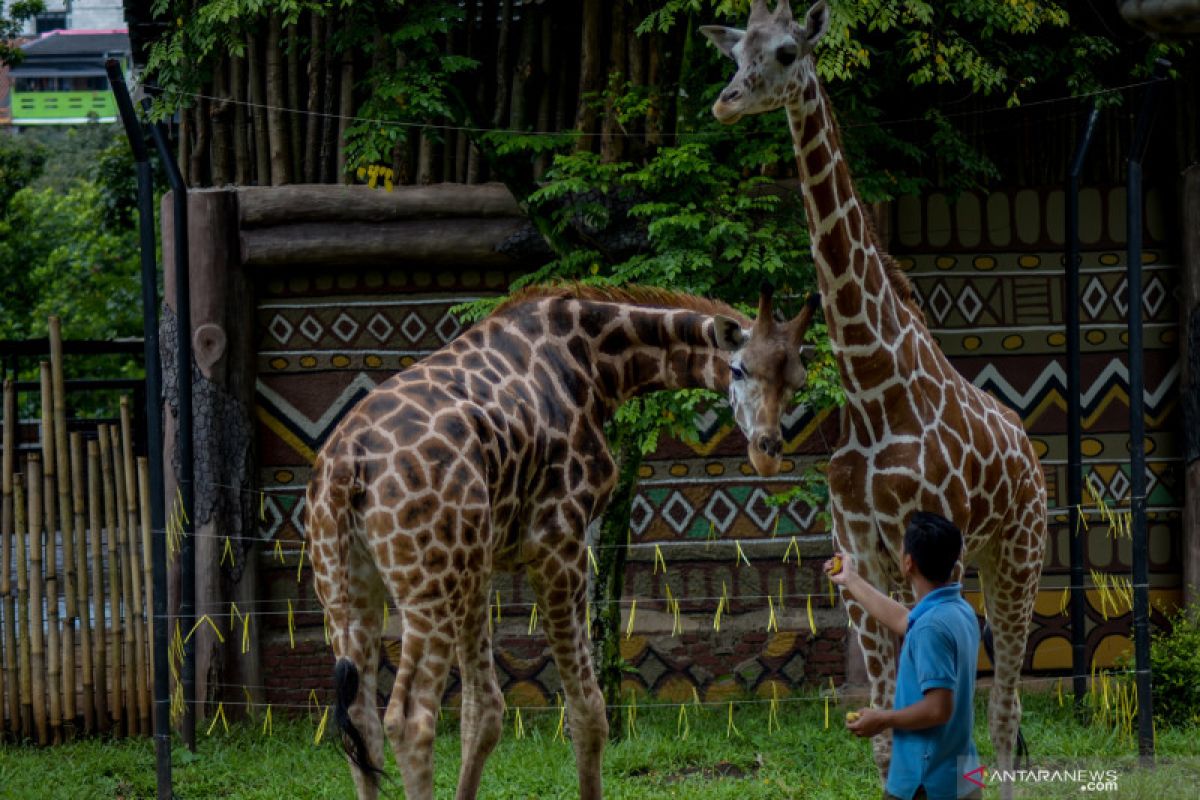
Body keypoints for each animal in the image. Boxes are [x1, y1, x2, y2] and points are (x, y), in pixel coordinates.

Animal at [304, 284, 820, 796]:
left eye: (797, 381)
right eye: (738, 367)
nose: (767, 451)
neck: (596, 366)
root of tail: (348, 461)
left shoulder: (481, 562)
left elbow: (483, 712)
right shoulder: (559, 539)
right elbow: (588, 710)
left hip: (351, 588)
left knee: (360, 721)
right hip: (428, 587)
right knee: (409, 720)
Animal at [700, 0, 1051, 786]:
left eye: (788, 51)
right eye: (734, 53)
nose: (726, 102)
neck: (871, 388)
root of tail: (1027, 447)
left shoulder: (937, 541)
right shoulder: (861, 552)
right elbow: (886, 731)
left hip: (1020, 550)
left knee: (1007, 705)